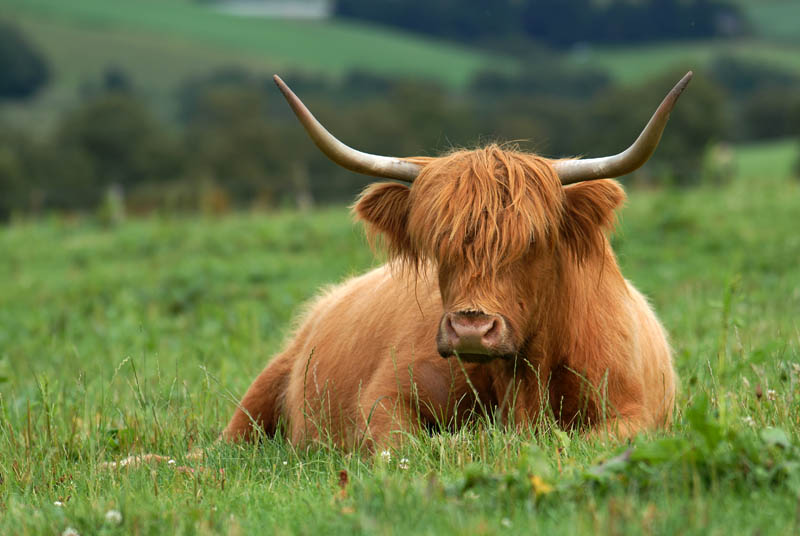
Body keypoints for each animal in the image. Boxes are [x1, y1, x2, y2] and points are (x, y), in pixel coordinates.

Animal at [220, 71, 692, 448]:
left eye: (535, 240)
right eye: (436, 240)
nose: (470, 330)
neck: (523, 377)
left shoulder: (635, 414)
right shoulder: (386, 396)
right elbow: (408, 444)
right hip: (265, 385)